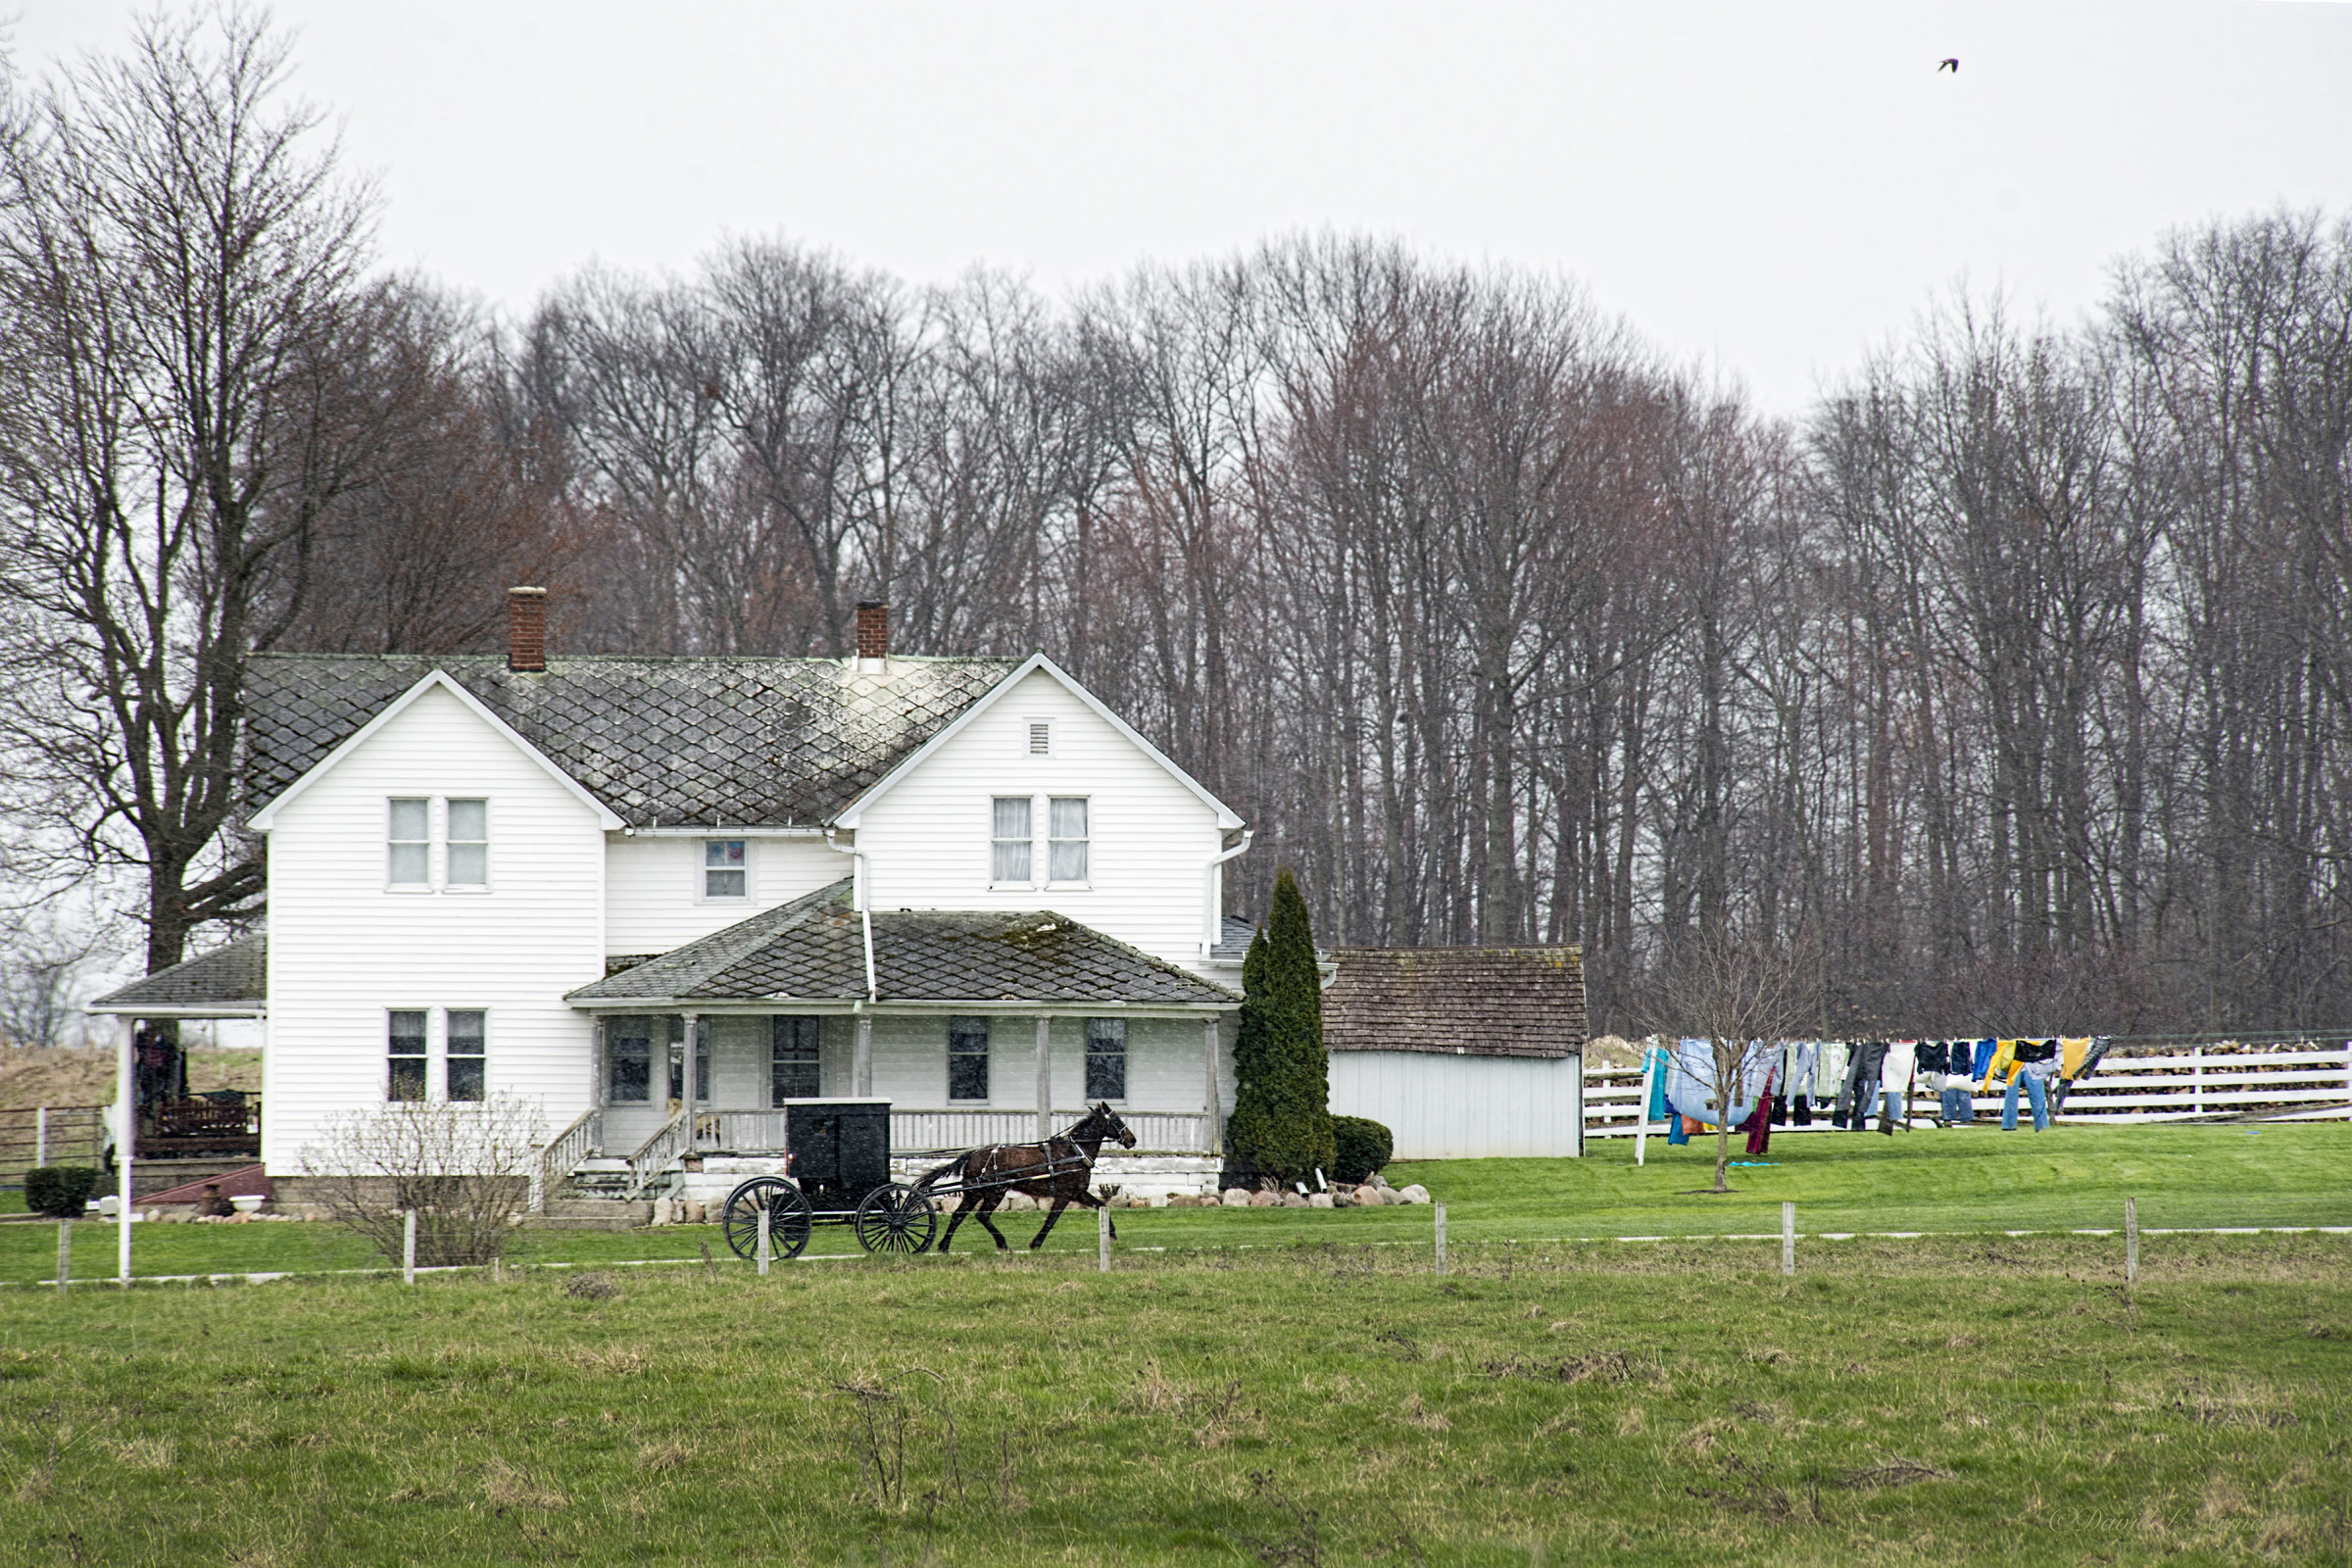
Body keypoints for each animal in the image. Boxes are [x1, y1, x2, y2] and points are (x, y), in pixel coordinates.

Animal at [917, 1109, 1138, 1259]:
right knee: (982, 1215)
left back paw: (944, 1246)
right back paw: (1002, 1244)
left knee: (958, 1215)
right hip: (995, 1191)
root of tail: (972, 1154)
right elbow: (1051, 1220)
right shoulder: (1065, 1194)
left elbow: (1101, 1206)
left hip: (975, 1193)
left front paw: (1112, 1235)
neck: (1073, 1153)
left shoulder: (1078, 1192)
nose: (1132, 1139)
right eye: (1116, 1119)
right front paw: (1035, 1244)